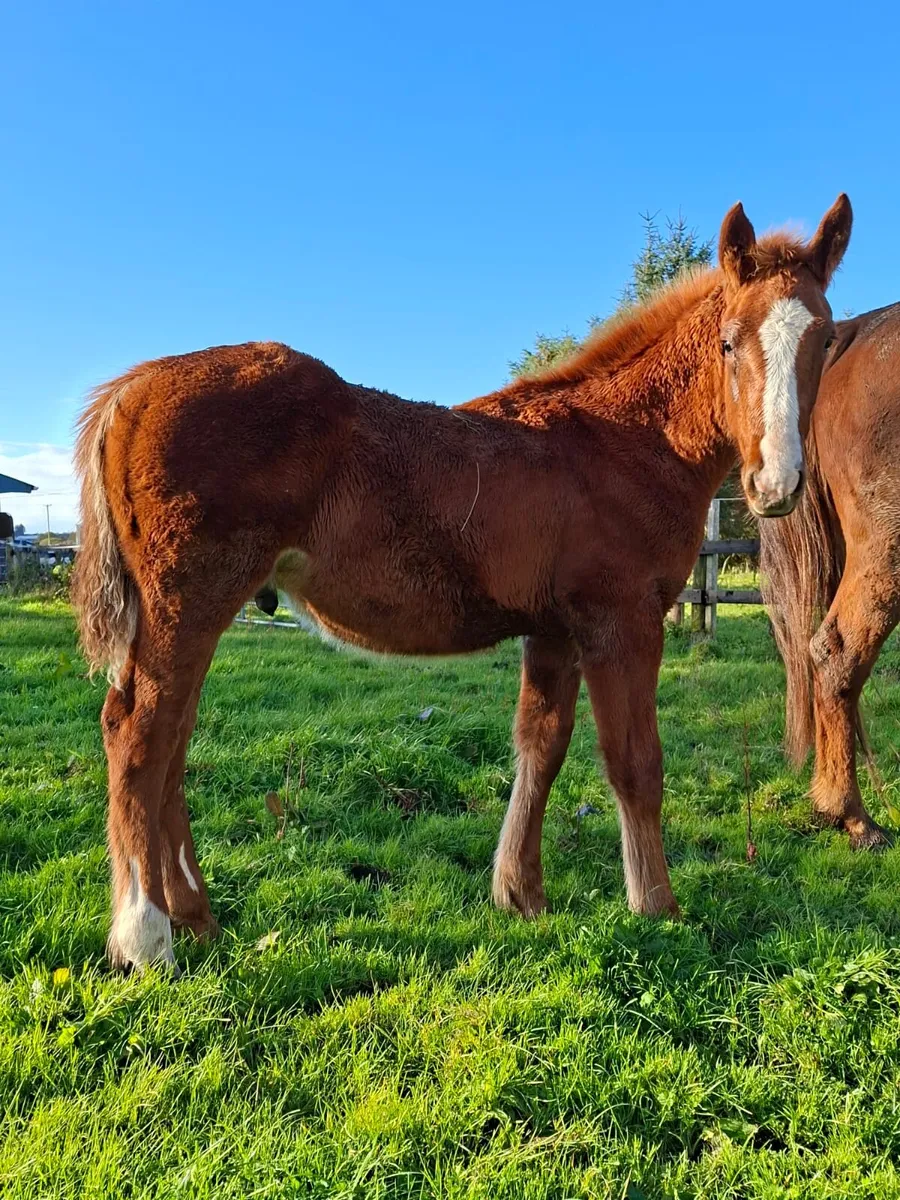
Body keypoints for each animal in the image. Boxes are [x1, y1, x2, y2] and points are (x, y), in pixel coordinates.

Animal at [72, 196, 852, 972]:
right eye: (729, 343)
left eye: (825, 341)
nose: (776, 484)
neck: (622, 443)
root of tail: (130, 391)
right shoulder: (621, 621)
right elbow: (635, 762)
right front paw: (657, 908)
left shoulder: (554, 630)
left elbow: (541, 745)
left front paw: (520, 893)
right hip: (189, 604)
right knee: (139, 736)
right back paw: (147, 937)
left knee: (172, 742)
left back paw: (196, 916)